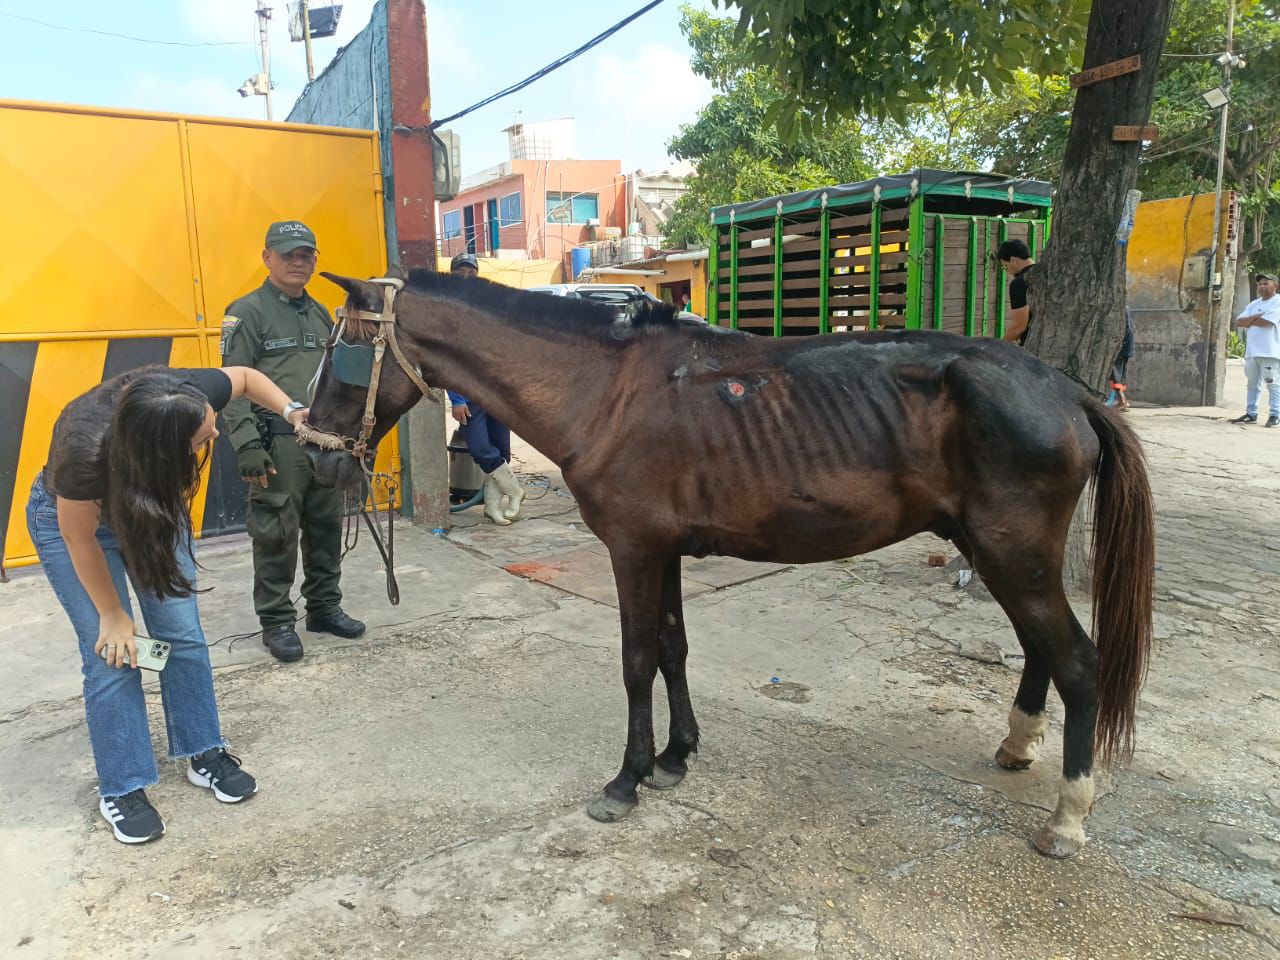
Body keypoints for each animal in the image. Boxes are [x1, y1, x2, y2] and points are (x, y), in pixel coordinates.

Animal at [299, 268, 1155, 859]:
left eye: (344, 350)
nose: (315, 452)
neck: (605, 390)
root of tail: (1068, 391)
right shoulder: (665, 551)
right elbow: (674, 649)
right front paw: (676, 757)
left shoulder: (634, 550)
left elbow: (637, 659)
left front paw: (626, 780)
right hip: (998, 550)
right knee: (1039, 649)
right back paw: (1017, 746)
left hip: (1015, 553)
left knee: (1078, 661)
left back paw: (1068, 819)